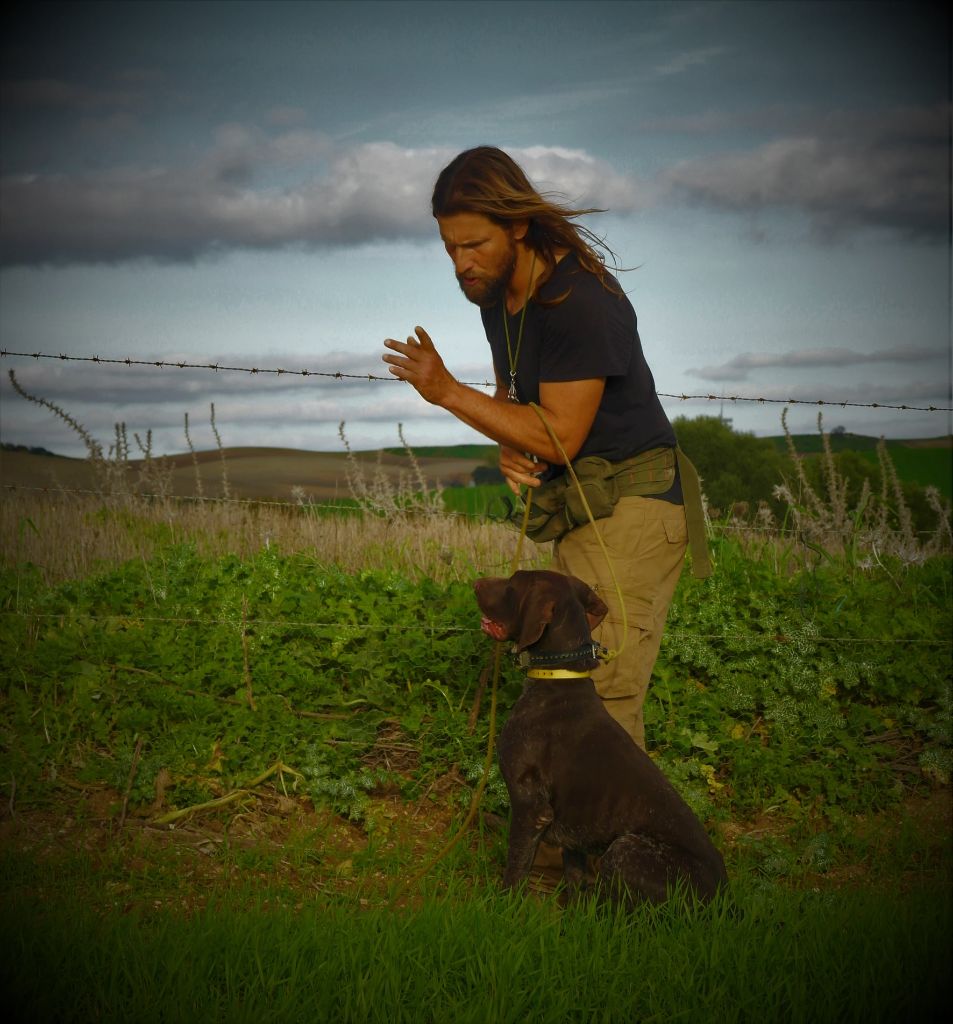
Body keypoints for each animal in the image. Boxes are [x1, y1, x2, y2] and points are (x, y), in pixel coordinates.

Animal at [477, 569, 728, 905]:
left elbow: (515, 872)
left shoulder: (531, 809)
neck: (559, 676)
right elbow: (575, 885)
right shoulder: (573, 839)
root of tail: (726, 901)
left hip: (623, 851)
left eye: (512, 584)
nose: (476, 582)